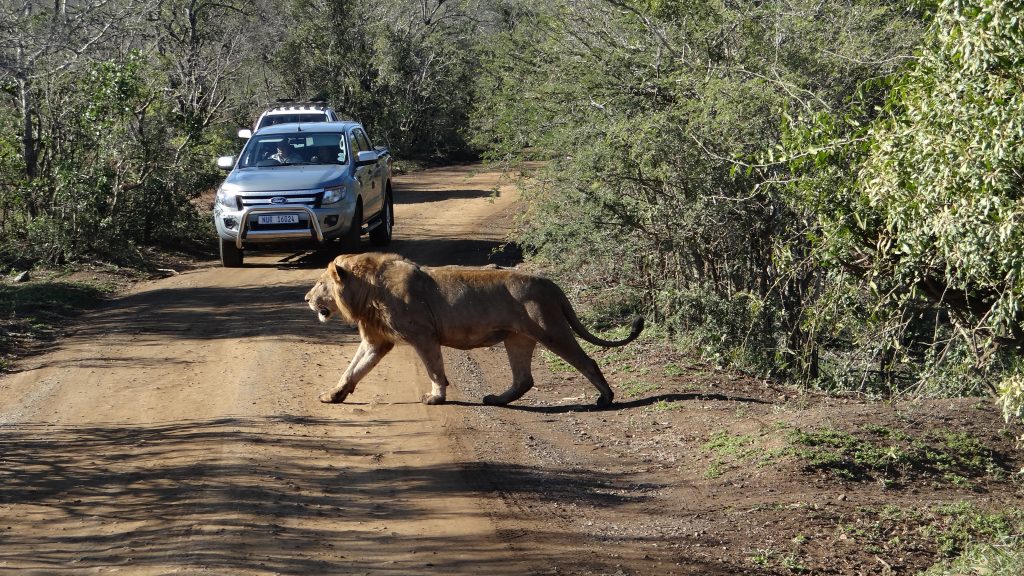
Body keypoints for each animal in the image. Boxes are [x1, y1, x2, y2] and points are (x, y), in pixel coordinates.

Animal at [299, 253, 643, 405]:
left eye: (320, 283)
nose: (305, 299)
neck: (367, 290)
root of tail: (550, 283)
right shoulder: (376, 340)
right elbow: (353, 369)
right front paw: (333, 395)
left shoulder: (423, 335)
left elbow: (435, 369)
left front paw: (436, 397)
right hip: (518, 338)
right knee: (524, 379)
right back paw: (497, 400)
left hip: (551, 330)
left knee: (587, 361)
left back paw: (605, 398)